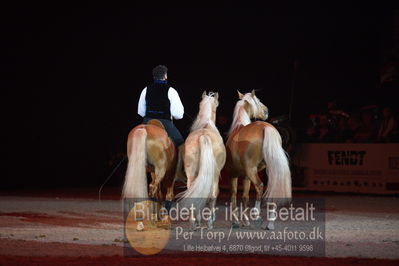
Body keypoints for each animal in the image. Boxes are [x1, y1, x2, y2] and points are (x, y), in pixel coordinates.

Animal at [180, 91, 227, 229]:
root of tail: (204, 136)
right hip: (215, 175)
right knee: (212, 195)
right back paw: (209, 222)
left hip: (191, 174)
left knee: (193, 192)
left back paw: (193, 222)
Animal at [227, 90, 292, 230]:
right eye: (258, 101)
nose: (266, 111)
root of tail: (265, 127)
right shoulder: (245, 177)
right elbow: (245, 197)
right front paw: (245, 221)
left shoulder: (233, 174)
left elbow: (234, 196)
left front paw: (236, 222)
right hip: (270, 169)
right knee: (271, 188)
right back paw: (270, 223)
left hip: (252, 170)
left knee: (260, 186)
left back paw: (256, 215)